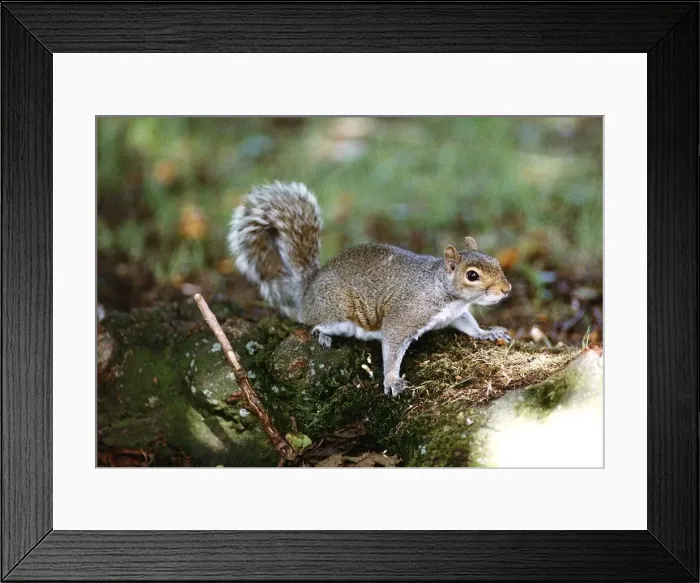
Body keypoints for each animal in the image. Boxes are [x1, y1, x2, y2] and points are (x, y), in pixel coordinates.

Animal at [228, 181, 512, 397]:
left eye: (496, 261)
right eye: (472, 275)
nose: (506, 289)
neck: (442, 289)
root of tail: (307, 293)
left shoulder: (455, 313)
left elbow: (469, 325)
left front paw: (488, 333)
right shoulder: (405, 316)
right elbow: (392, 347)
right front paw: (392, 381)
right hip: (339, 309)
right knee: (313, 323)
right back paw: (322, 335)